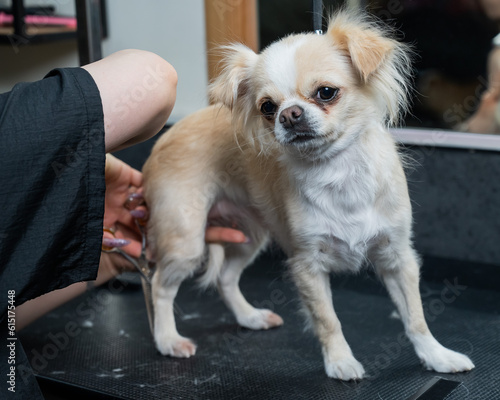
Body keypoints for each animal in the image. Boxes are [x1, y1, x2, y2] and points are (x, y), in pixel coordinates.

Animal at [143, 10, 474, 380]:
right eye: (267, 107)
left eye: (326, 92)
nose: (289, 114)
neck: (337, 170)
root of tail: (168, 134)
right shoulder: (308, 266)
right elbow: (327, 320)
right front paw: (340, 362)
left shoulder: (397, 258)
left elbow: (416, 318)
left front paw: (437, 356)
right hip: (186, 241)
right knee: (159, 286)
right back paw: (168, 339)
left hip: (249, 235)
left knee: (226, 278)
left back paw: (249, 317)